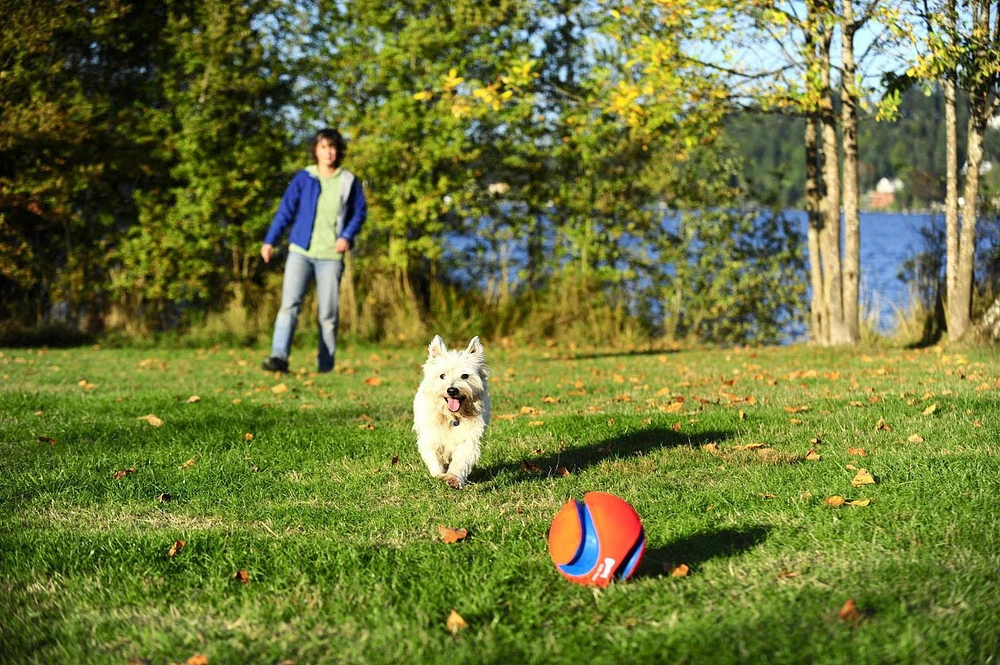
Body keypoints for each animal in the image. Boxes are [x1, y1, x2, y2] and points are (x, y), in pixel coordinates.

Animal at [412, 338, 490, 488]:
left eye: (465, 376)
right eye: (442, 375)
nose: (452, 390)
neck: (452, 416)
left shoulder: (468, 439)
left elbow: (460, 460)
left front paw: (453, 479)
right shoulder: (431, 437)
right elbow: (434, 458)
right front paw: (439, 475)